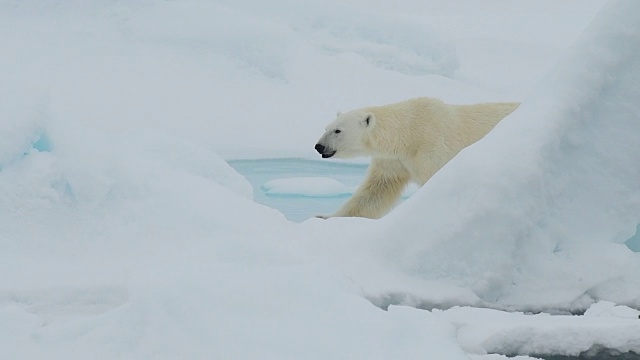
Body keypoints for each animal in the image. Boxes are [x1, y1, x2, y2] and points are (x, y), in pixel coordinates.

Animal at [316, 97, 520, 218]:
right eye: (326, 128)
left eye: (338, 130)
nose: (319, 146)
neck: (409, 133)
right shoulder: (394, 160)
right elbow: (375, 191)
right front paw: (325, 217)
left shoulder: (432, 147)